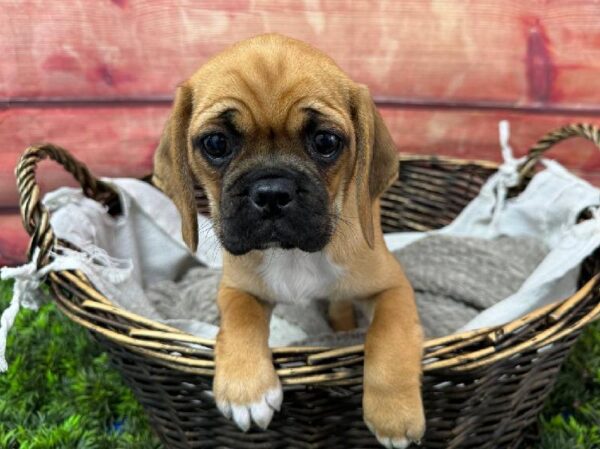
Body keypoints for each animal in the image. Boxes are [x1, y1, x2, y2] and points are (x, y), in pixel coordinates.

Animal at [155, 33, 426, 446]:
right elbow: (240, 318)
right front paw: (246, 389)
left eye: (326, 141)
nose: (270, 192)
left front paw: (394, 412)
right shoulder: (236, 287)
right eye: (215, 143)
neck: (295, 255)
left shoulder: (392, 287)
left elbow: (388, 335)